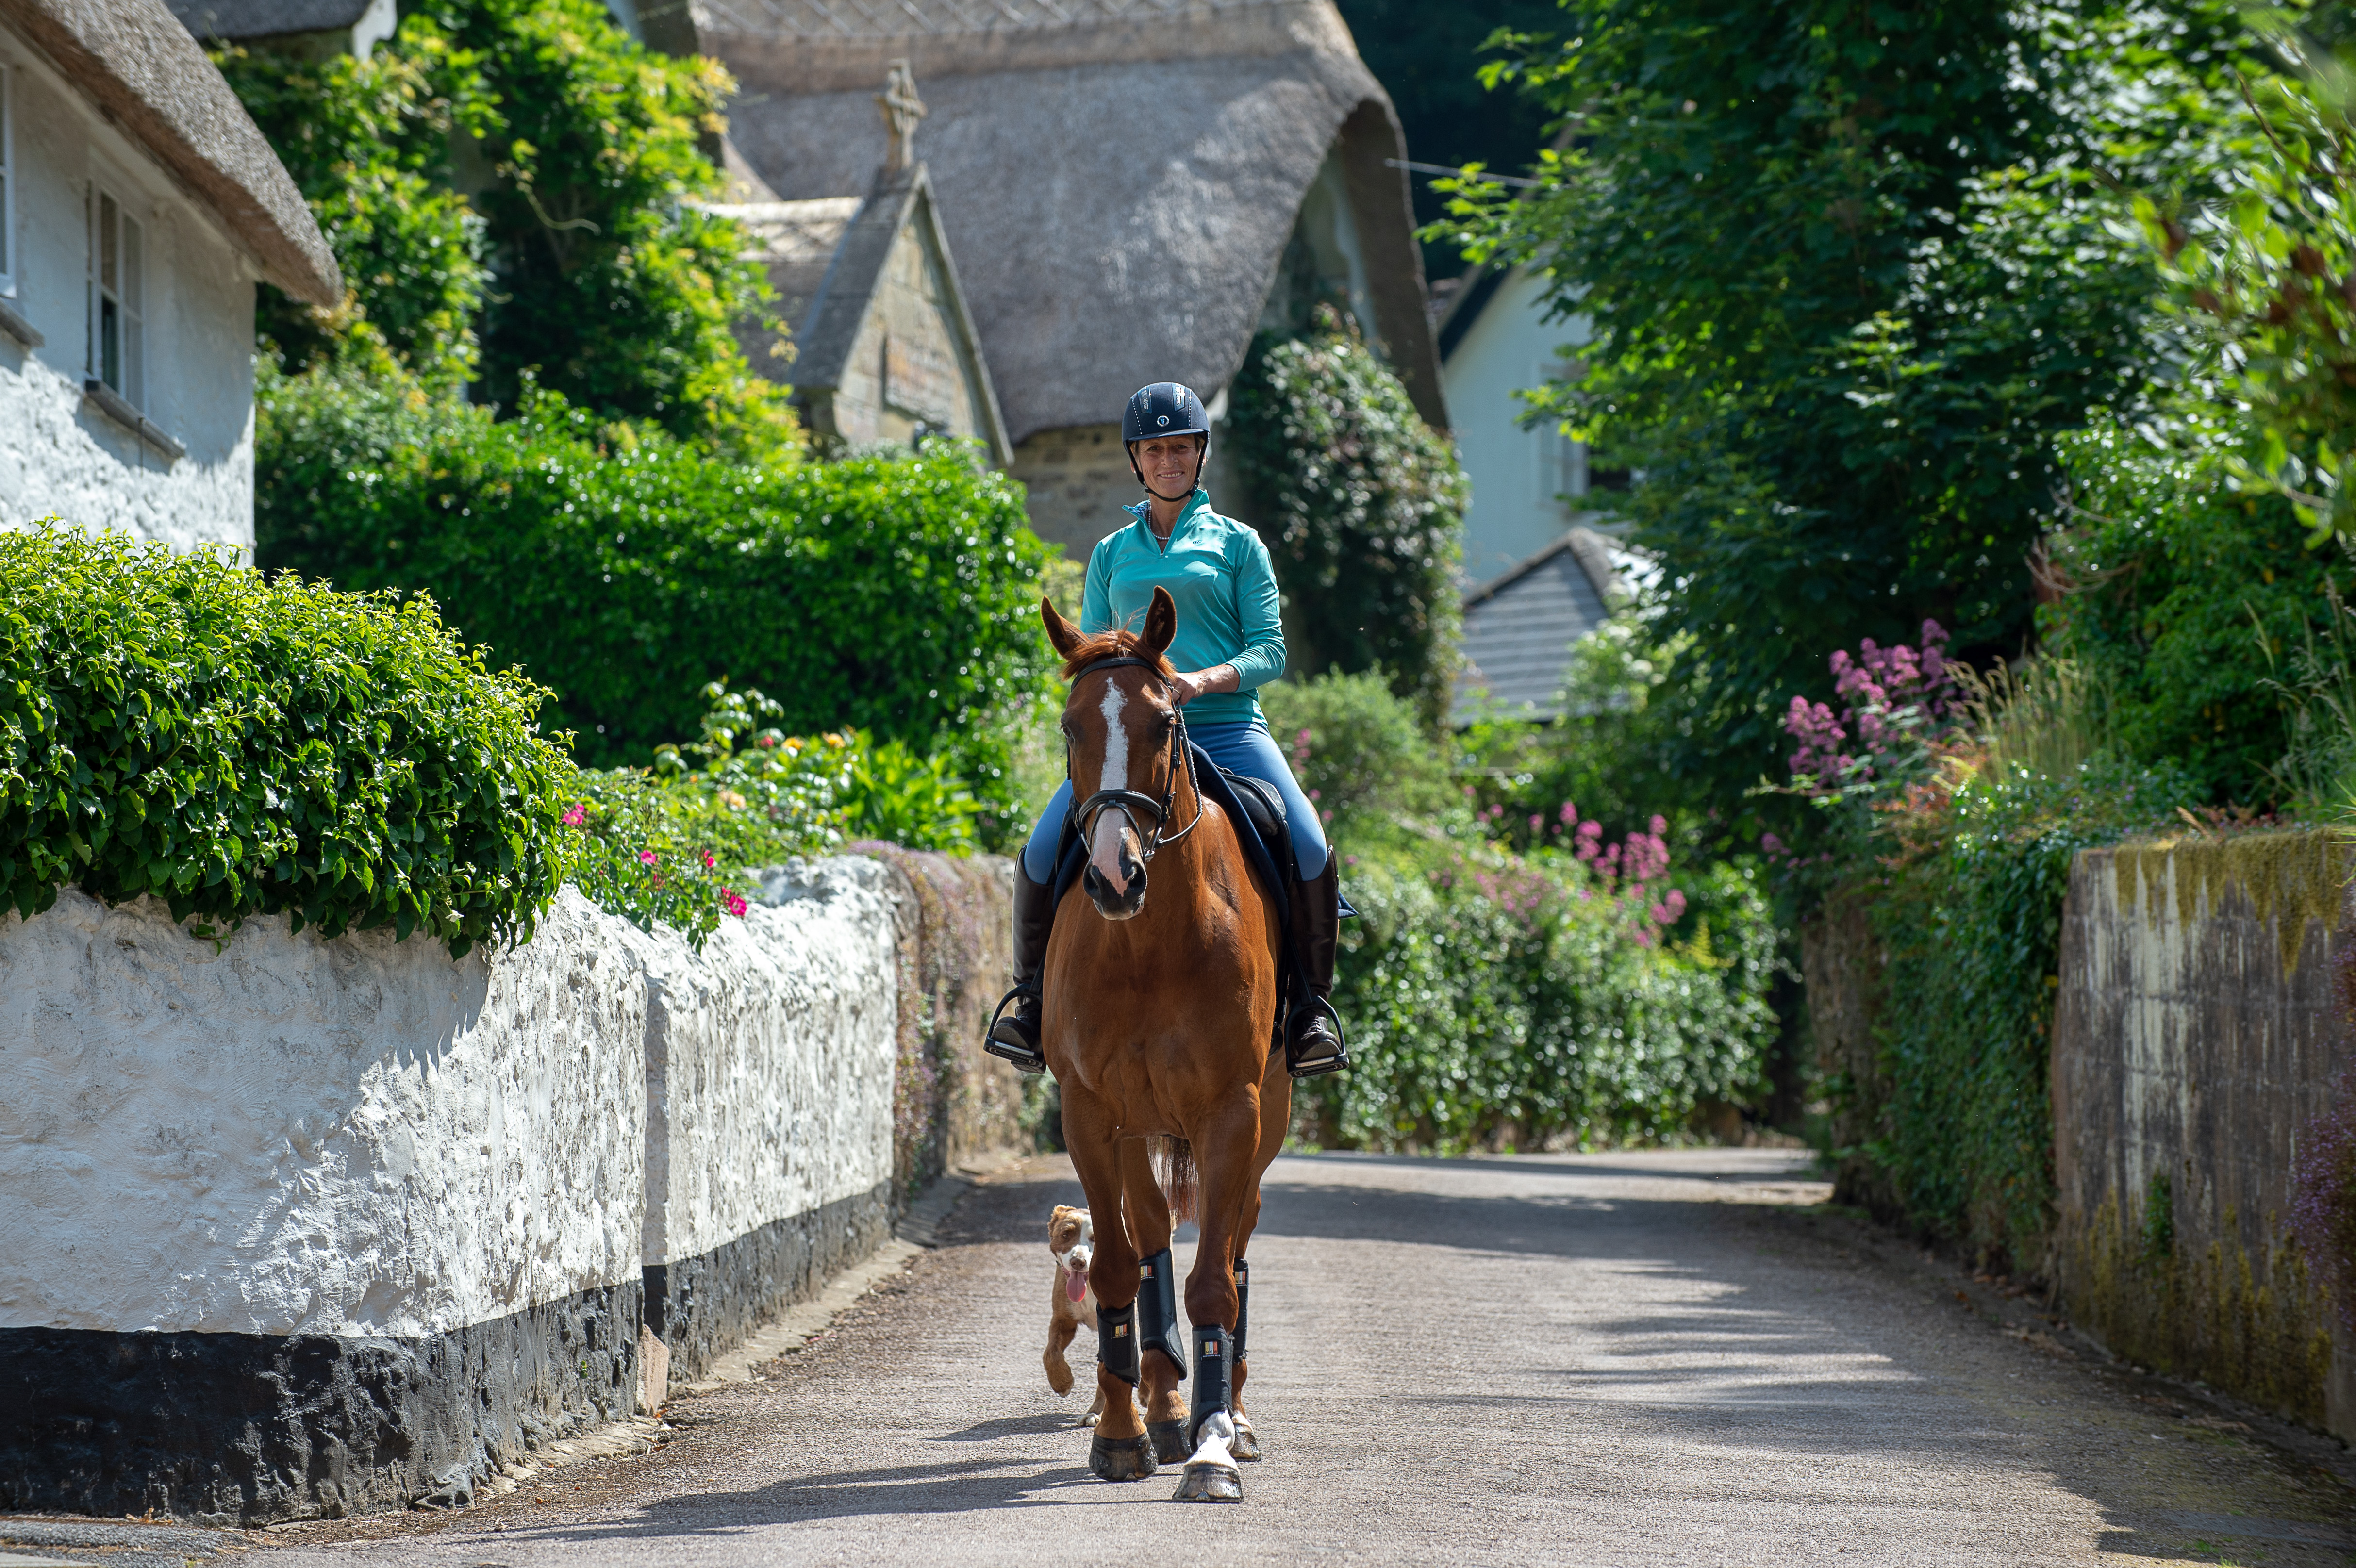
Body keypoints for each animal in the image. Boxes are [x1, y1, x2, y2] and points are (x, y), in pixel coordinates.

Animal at [1039, 585, 1292, 1504]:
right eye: (1071, 725)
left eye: (1162, 722)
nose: (1115, 876)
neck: (1146, 942)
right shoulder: (1087, 1112)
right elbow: (1119, 1264)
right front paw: (1122, 1432)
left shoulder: (1231, 1111)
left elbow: (1215, 1280)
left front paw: (1214, 1452)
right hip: (1133, 1125)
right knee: (1149, 1235)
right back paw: (1163, 1399)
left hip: (1263, 1120)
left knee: (1236, 1241)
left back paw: (1228, 1416)